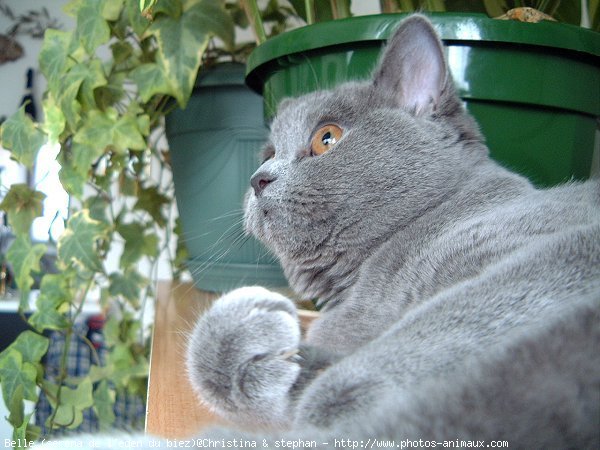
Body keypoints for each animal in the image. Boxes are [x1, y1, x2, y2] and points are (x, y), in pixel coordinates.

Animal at [184, 13, 600, 446]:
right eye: (268, 154)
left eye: (326, 138)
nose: (258, 178)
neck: (360, 282)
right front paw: (257, 343)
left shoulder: (550, 251)